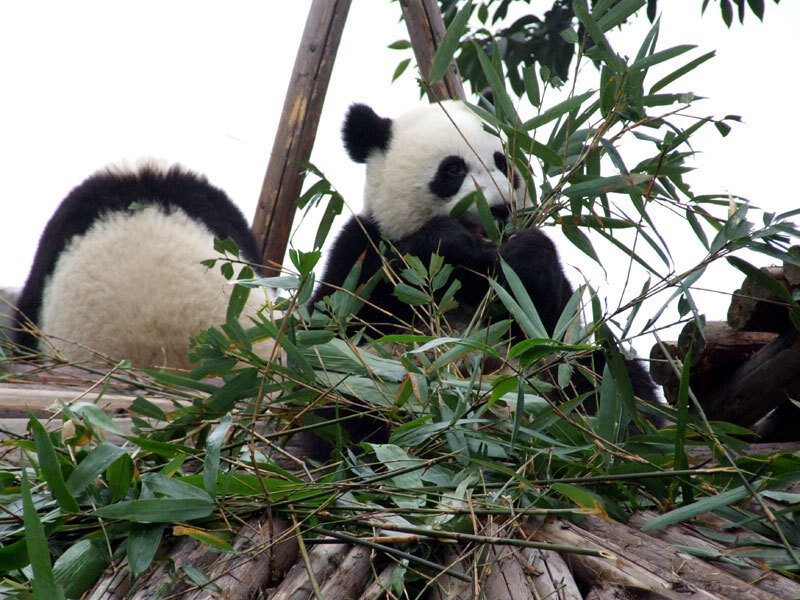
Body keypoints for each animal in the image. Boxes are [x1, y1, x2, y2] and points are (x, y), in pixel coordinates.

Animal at [310, 100, 659, 425]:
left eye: (503, 164)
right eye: (453, 169)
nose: (500, 207)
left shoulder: (533, 306)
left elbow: (554, 317)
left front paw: (525, 255)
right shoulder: (361, 246)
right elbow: (331, 323)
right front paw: (447, 242)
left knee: (612, 381)